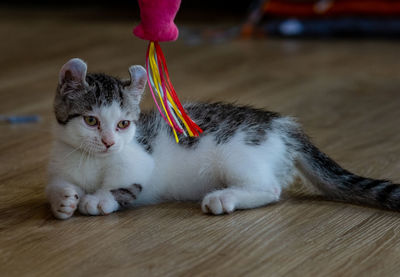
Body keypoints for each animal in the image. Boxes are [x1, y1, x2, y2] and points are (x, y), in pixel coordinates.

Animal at [47, 57, 400, 218]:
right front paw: (63, 201)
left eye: (123, 124)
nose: (109, 143)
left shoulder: (139, 161)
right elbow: (57, 185)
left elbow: (122, 183)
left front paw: (97, 199)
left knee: (270, 188)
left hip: (237, 154)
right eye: (91, 120)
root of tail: (283, 126)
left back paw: (224, 198)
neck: (92, 161)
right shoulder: (61, 164)